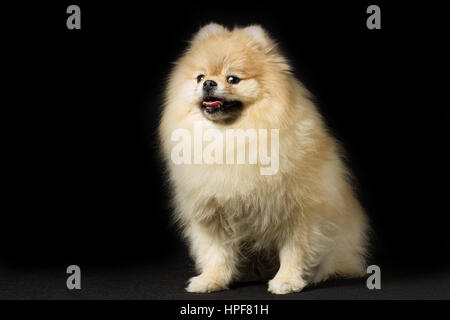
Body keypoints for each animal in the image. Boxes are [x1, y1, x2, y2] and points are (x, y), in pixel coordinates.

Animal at [158, 23, 370, 294]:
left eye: (233, 79)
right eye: (199, 77)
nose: (208, 83)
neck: (231, 138)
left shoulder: (298, 210)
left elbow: (295, 249)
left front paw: (287, 280)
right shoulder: (210, 213)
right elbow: (216, 252)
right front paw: (211, 279)